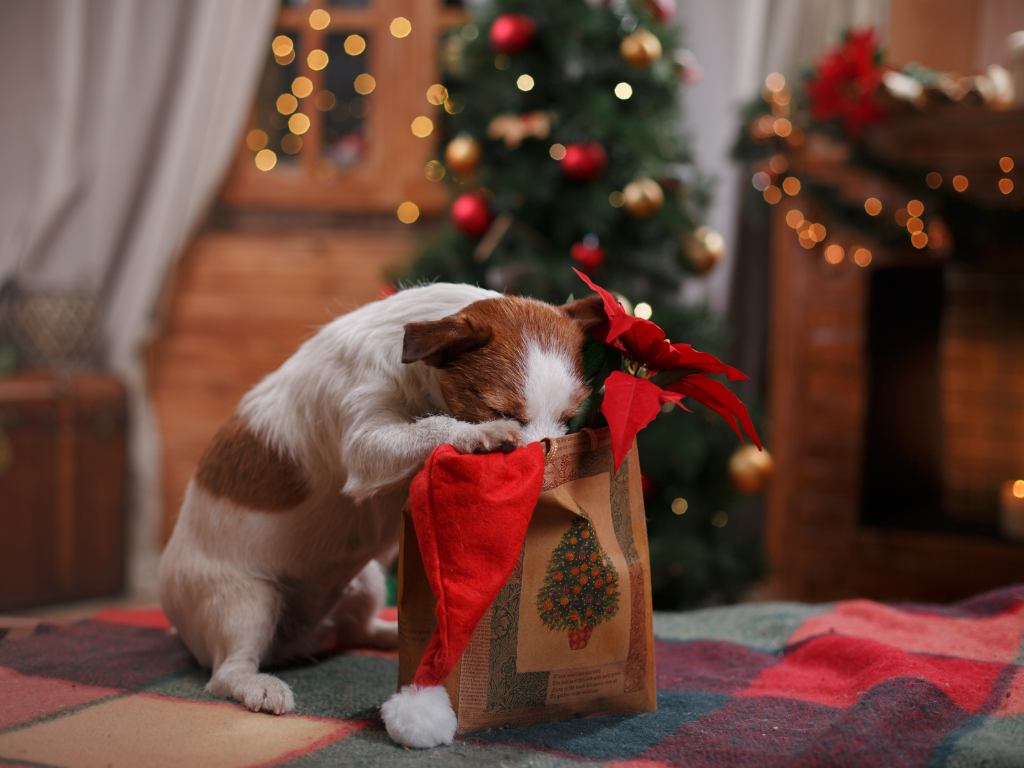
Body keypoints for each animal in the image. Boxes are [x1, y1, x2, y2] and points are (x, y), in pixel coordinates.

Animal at [156, 280, 602, 745]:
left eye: (571, 418)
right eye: (501, 410)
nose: (551, 475)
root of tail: (299, 639)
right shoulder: (366, 444)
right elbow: (432, 426)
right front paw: (481, 434)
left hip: (364, 581)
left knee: (356, 630)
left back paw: (395, 635)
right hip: (247, 601)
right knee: (226, 672)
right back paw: (260, 685)